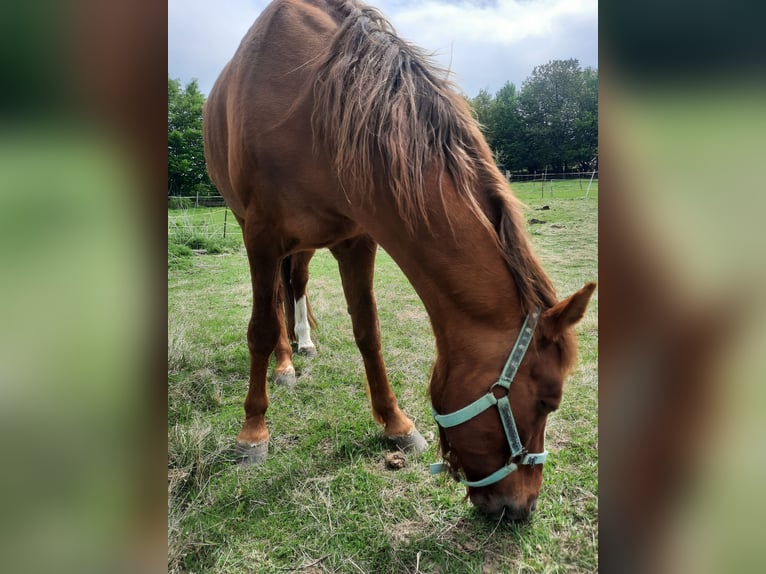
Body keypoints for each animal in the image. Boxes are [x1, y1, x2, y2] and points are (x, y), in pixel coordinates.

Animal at [203, 0, 595, 521]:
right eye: (549, 401)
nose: (522, 506)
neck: (311, 111)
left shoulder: (357, 240)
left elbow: (368, 331)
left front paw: (395, 424)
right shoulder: (260, 237)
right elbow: (262, 330)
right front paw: (252, 434)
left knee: (296, 284)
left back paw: (301, 347)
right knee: (275, 308)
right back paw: (285, 364)